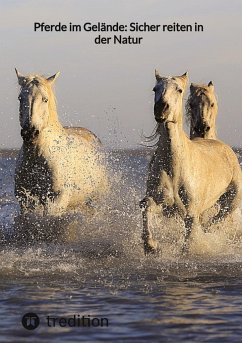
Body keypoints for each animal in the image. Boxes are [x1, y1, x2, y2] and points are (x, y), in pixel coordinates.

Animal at [13, 69, 107, 218]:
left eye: (45, 99)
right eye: (20, 98)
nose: (30, 133)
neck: (37, 157)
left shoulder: (56, 199)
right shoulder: (26, 201)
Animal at [141, 71, 241, 254]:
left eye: (179, 89)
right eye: (155, 89)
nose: (161, 109)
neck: (174, 166)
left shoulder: (191, 213)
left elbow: (189, 240)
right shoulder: (165, 205)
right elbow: (147, 206)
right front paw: (151, 245)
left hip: (231, 202)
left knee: (216, 219)